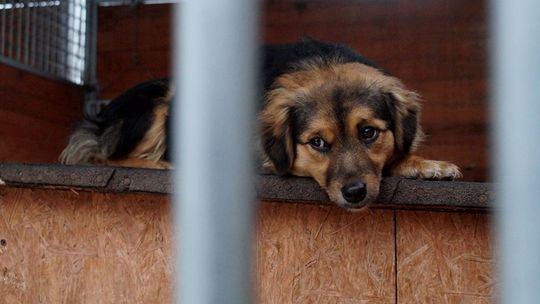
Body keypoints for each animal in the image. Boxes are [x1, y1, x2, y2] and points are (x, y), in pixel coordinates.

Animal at [61, 38, 462, 209]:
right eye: (317, 143)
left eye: (368, 133)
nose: (355, 194)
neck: (321, 62)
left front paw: (424, 164)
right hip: (158, 98)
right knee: (106, 158)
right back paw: (162, 164)